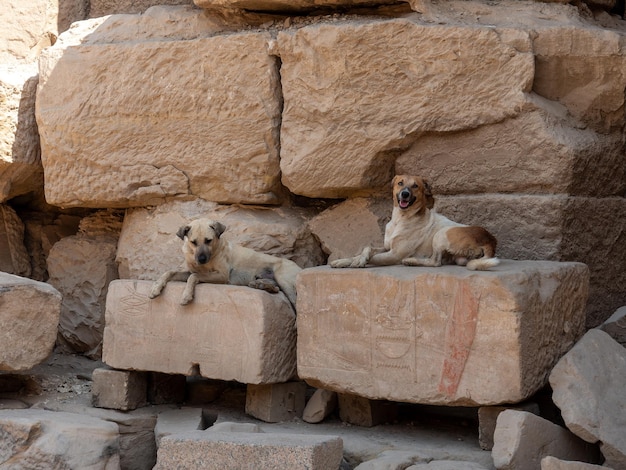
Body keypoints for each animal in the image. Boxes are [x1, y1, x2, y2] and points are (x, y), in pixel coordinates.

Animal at [149, 218, 300, 306]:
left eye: (208, 240)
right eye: (193, 242)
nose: (201, 260)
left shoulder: (221, 275)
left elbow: (194, 276)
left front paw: (186, 296)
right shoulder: (189, 270)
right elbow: (169, 272)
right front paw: (155, 288)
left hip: (283, 278)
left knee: (293, 300)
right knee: (275, 288)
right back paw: (261, 285)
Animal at [332, 174, 498, 270]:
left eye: (415, 186)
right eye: (400, 183)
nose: (405, 194)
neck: (400, 219)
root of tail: (490, 240)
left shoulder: (395, 254)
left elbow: (372, 256)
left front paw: (358, 261)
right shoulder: (387, 247)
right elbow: (367, 248)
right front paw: (344, 261)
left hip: (441, 234)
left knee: (435, 262)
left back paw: (411, 260)